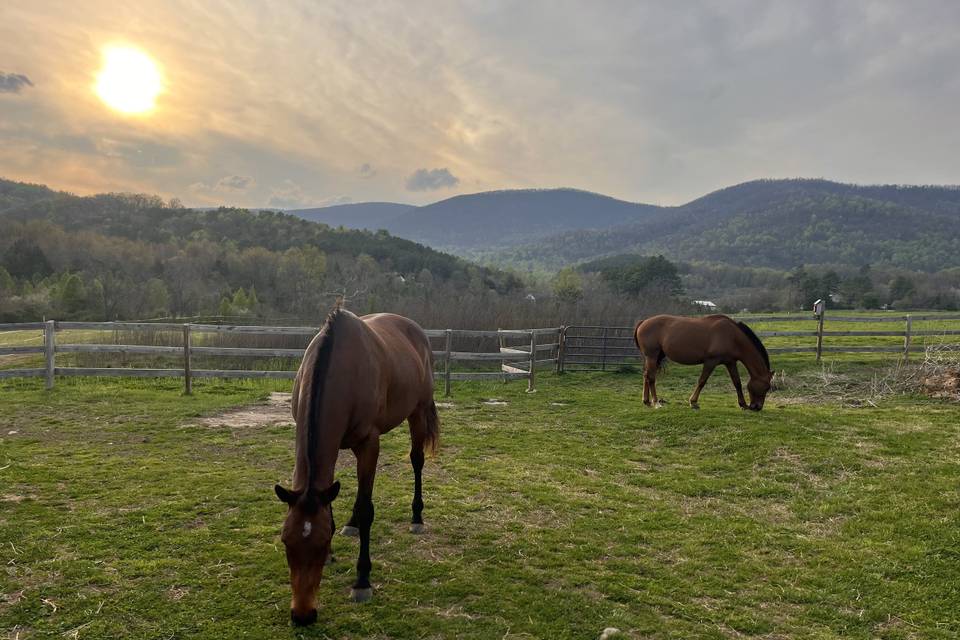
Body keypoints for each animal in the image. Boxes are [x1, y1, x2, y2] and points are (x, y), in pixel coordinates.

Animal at [274, 308, 438, 628]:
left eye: (322, 542)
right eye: (286, 542)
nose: (302, 615)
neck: (340, 369)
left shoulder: (368, 444)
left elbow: (366, 508)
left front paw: (362, 580)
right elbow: (330, 498)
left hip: (418, 412)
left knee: (416, 461)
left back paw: (417, 517)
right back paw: (351, 525)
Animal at [632, 314, 776, 410]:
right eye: (767, 387)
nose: (757, 407)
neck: (732, 336)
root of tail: (643, 322)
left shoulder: (730, 362)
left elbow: (737, 383)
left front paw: (743, 404)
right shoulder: (711, 361)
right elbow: (702, 381)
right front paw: (693, 402)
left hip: (655, 357)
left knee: (646, 375)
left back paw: (646, 401)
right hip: (652, 356)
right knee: (651, 377)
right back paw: (656, 402)